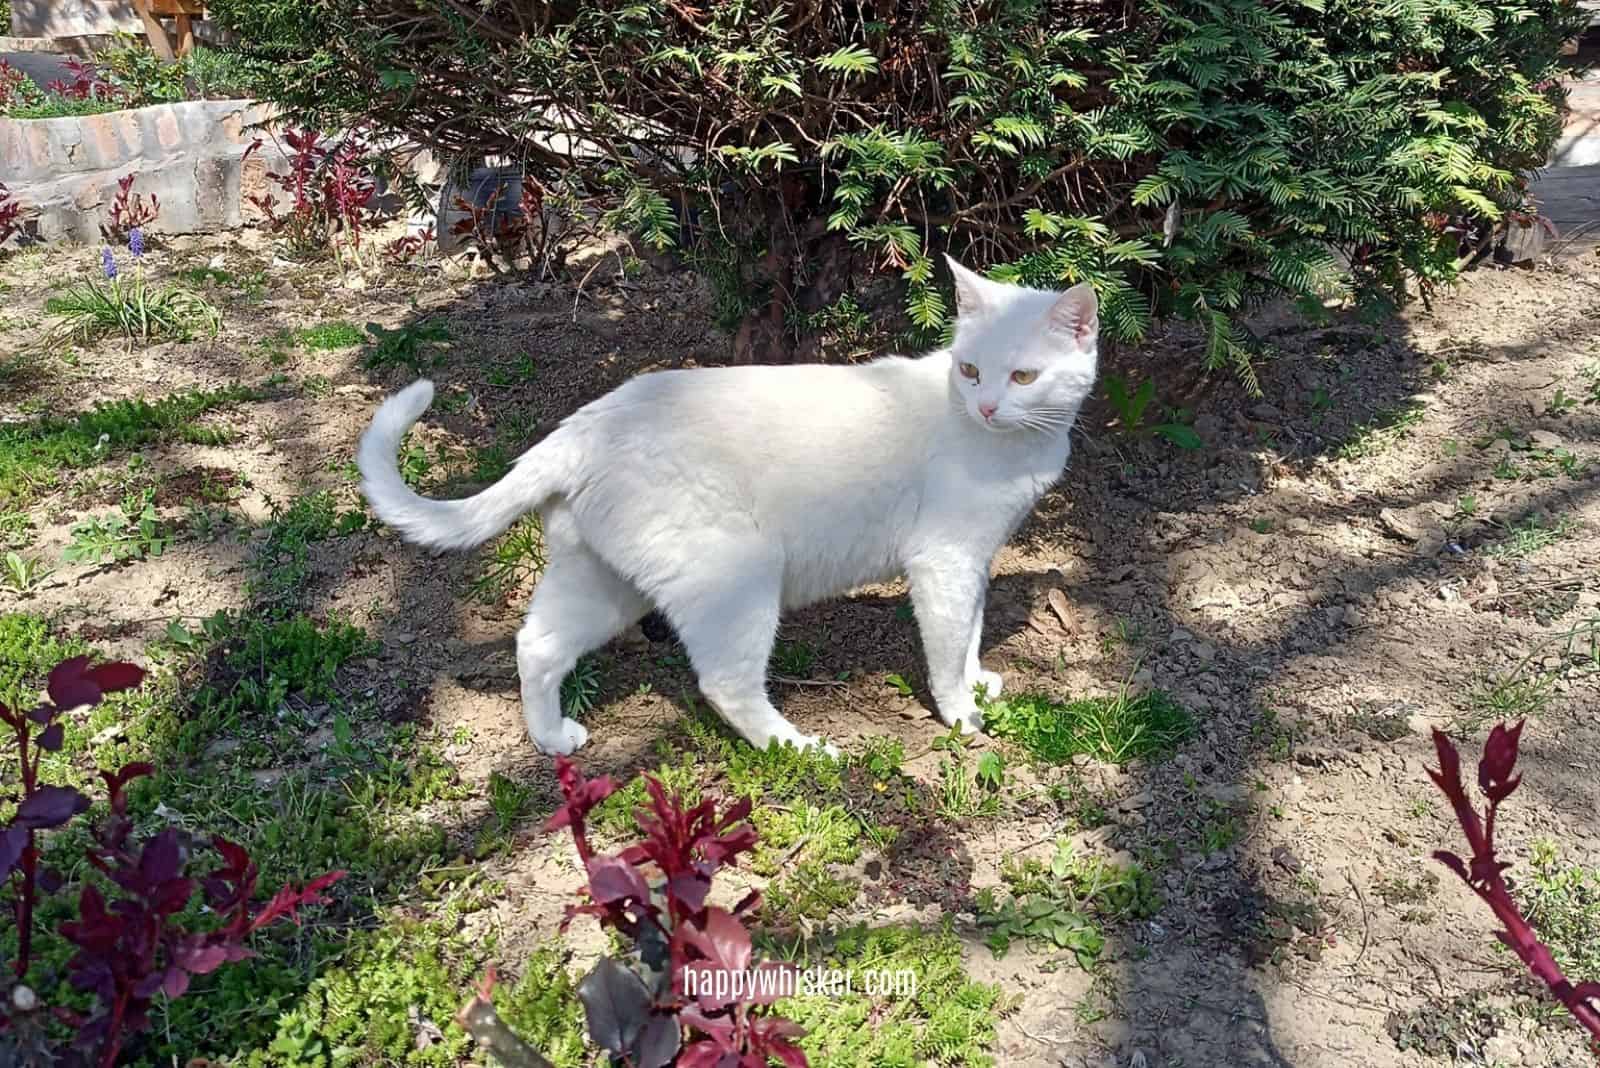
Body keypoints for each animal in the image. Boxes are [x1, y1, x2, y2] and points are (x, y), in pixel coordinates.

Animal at [355, 255, 1094, 757]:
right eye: (970, 371)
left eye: (1022, 375)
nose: (987, 405)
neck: (1018, 444)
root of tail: (581, 426)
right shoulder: (944, 562)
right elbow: (945, 649)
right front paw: (962, 715)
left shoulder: (975, 562)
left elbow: (970, 633)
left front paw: (979, 683)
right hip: (737, 578)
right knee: (725, 685)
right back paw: (806, 752)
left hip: (604, 582)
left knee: (535, 645)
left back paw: (552, 739)